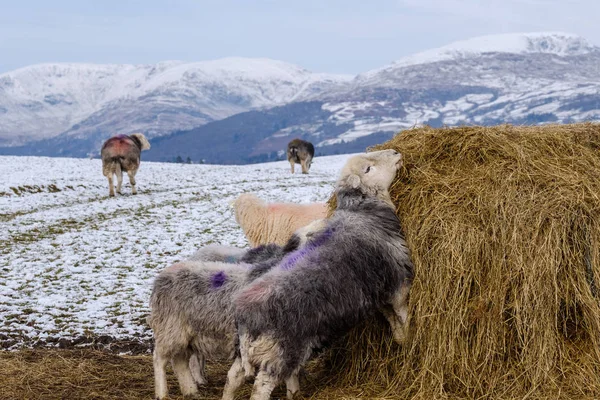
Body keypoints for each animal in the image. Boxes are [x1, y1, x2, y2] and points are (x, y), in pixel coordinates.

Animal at [148, 219, 326, 400]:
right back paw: (162, 393)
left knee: (179, 359)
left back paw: (191, 390)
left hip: (185, 332)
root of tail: (161, 276)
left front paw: (294, 393)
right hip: (170, 326)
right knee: (159, 358)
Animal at [223, 149, 414, 400]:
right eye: (368, 169)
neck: (362, 212)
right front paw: (410, 334)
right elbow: (402, 312)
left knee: (232, 377)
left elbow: (391, 318)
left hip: (248, 350)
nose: (395, 152)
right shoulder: (398, 281)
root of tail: (246, 319)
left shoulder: (378, 290)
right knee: (261, 386)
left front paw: (401, 339)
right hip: (279, 351)